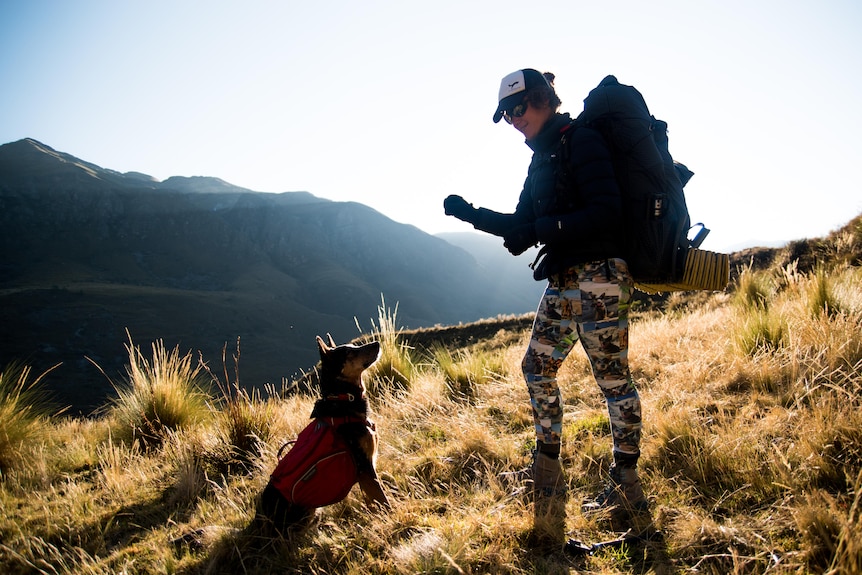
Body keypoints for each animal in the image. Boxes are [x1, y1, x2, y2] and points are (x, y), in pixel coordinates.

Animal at [256, 338, 392, 532]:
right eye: (349, 352)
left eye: (354, 346)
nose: (377, 343)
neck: (344, 400)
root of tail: (259, 523)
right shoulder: (365, 466)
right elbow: (383, 499)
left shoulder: (366, 472)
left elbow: (373, 501)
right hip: (305, 510)